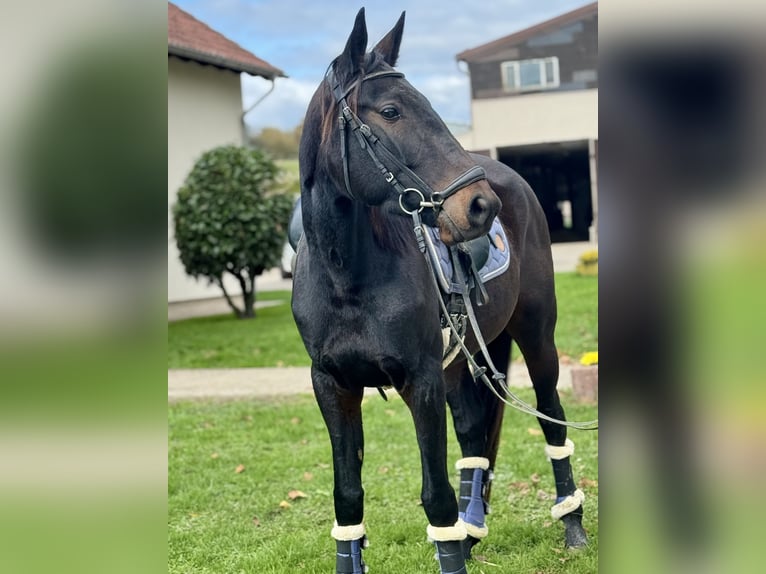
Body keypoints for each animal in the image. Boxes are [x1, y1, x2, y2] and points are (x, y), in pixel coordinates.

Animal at [291, 9, 588, 574]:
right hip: (462, 359)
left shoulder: (422, 381)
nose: (481, 205)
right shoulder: (333, 387)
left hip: (536, 339)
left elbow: (436, 497)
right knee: (474, 430)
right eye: (390, 111)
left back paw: (572, 526)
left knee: (554, 421)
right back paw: (472, 535)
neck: (347, 278)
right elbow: (348, 496)